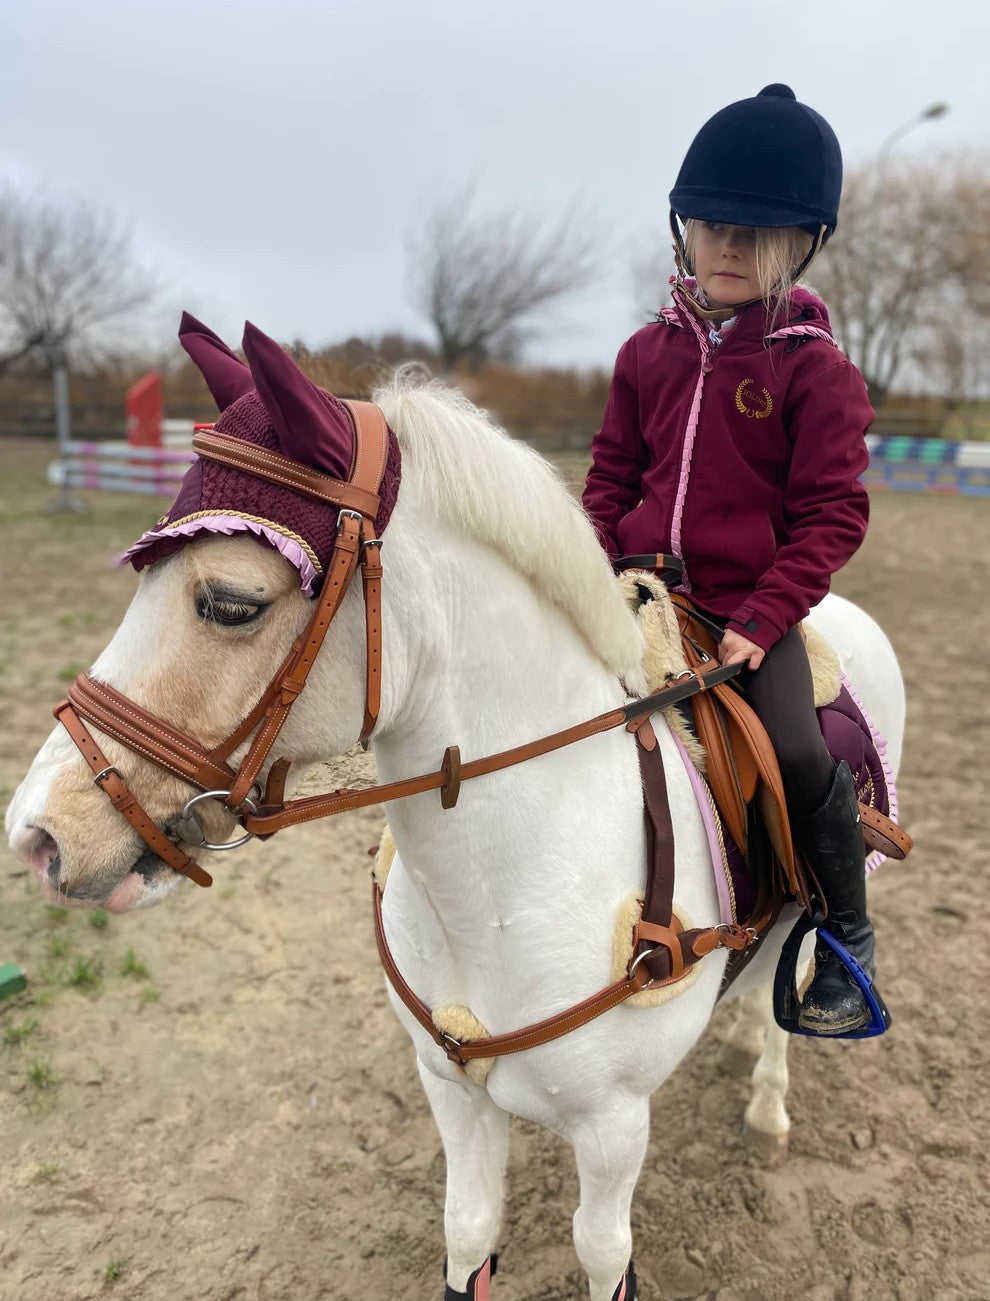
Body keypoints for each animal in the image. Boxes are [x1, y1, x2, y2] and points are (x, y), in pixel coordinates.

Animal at [7, 372, 905, 1295]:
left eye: (229, 604)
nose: (39, 833)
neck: (506, 885)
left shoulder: (615, 1126)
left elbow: (603, 1252)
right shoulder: (451, 1087)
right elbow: (467, 1230)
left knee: (803, 963)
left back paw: (769, 1099)